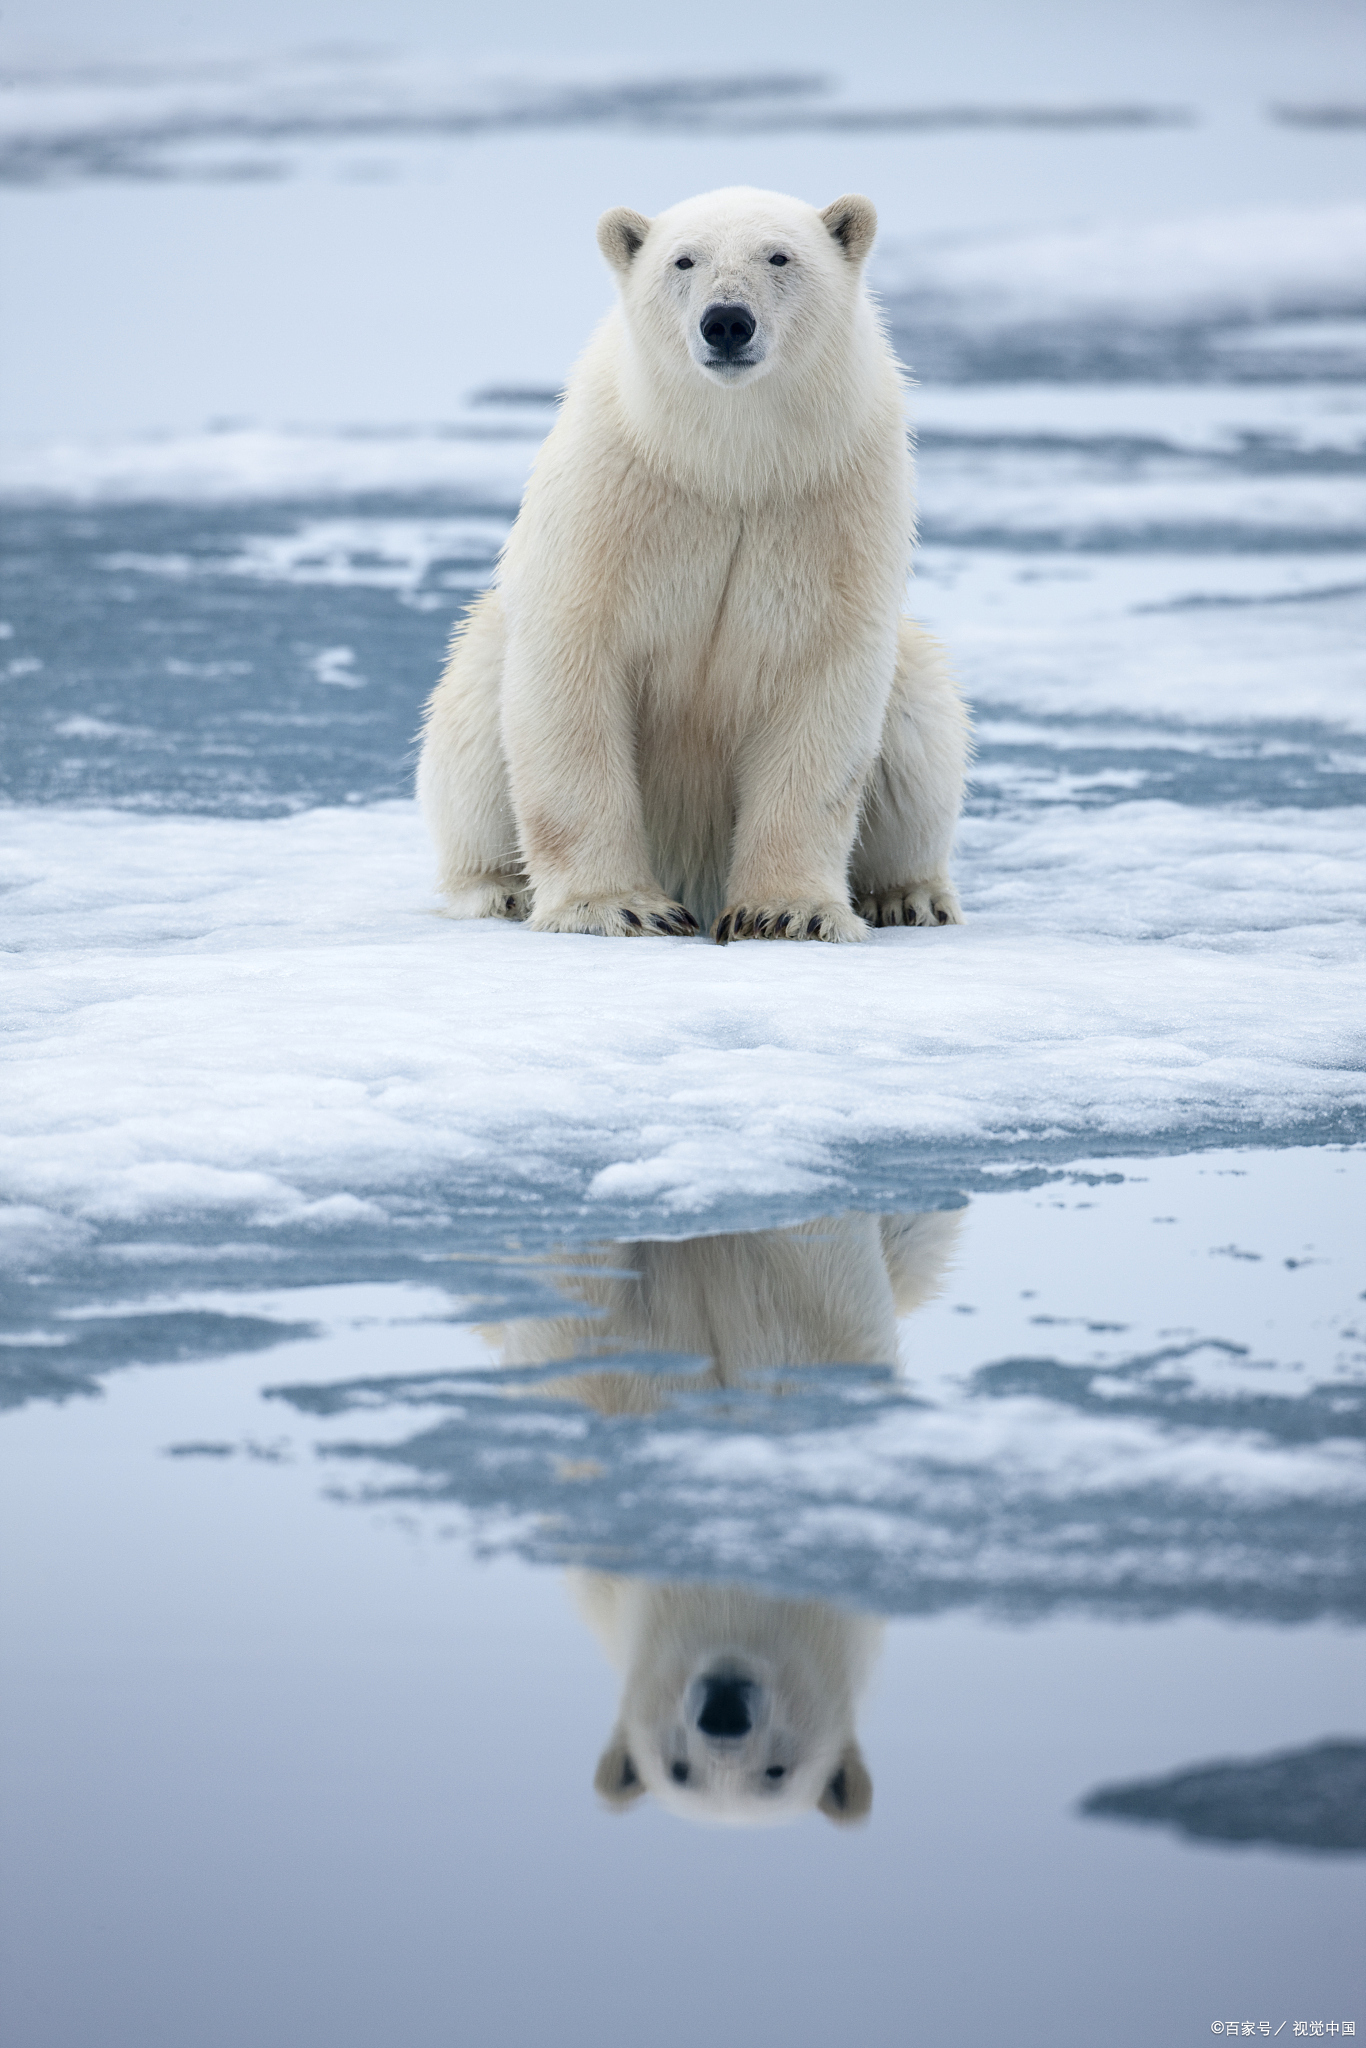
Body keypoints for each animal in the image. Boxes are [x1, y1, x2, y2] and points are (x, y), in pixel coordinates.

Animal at [421, 184, 966, 937]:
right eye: (683, 260)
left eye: (779, 255)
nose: (727, 321)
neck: (725, 463)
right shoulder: (613, 500)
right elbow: (572, 674)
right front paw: (616, 907)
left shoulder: (832, 502)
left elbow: (820, 694)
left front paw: (788, 913)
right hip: (482, 670)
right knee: (471, 716)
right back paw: (498, 890)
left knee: (921, 718)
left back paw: (908, 896)